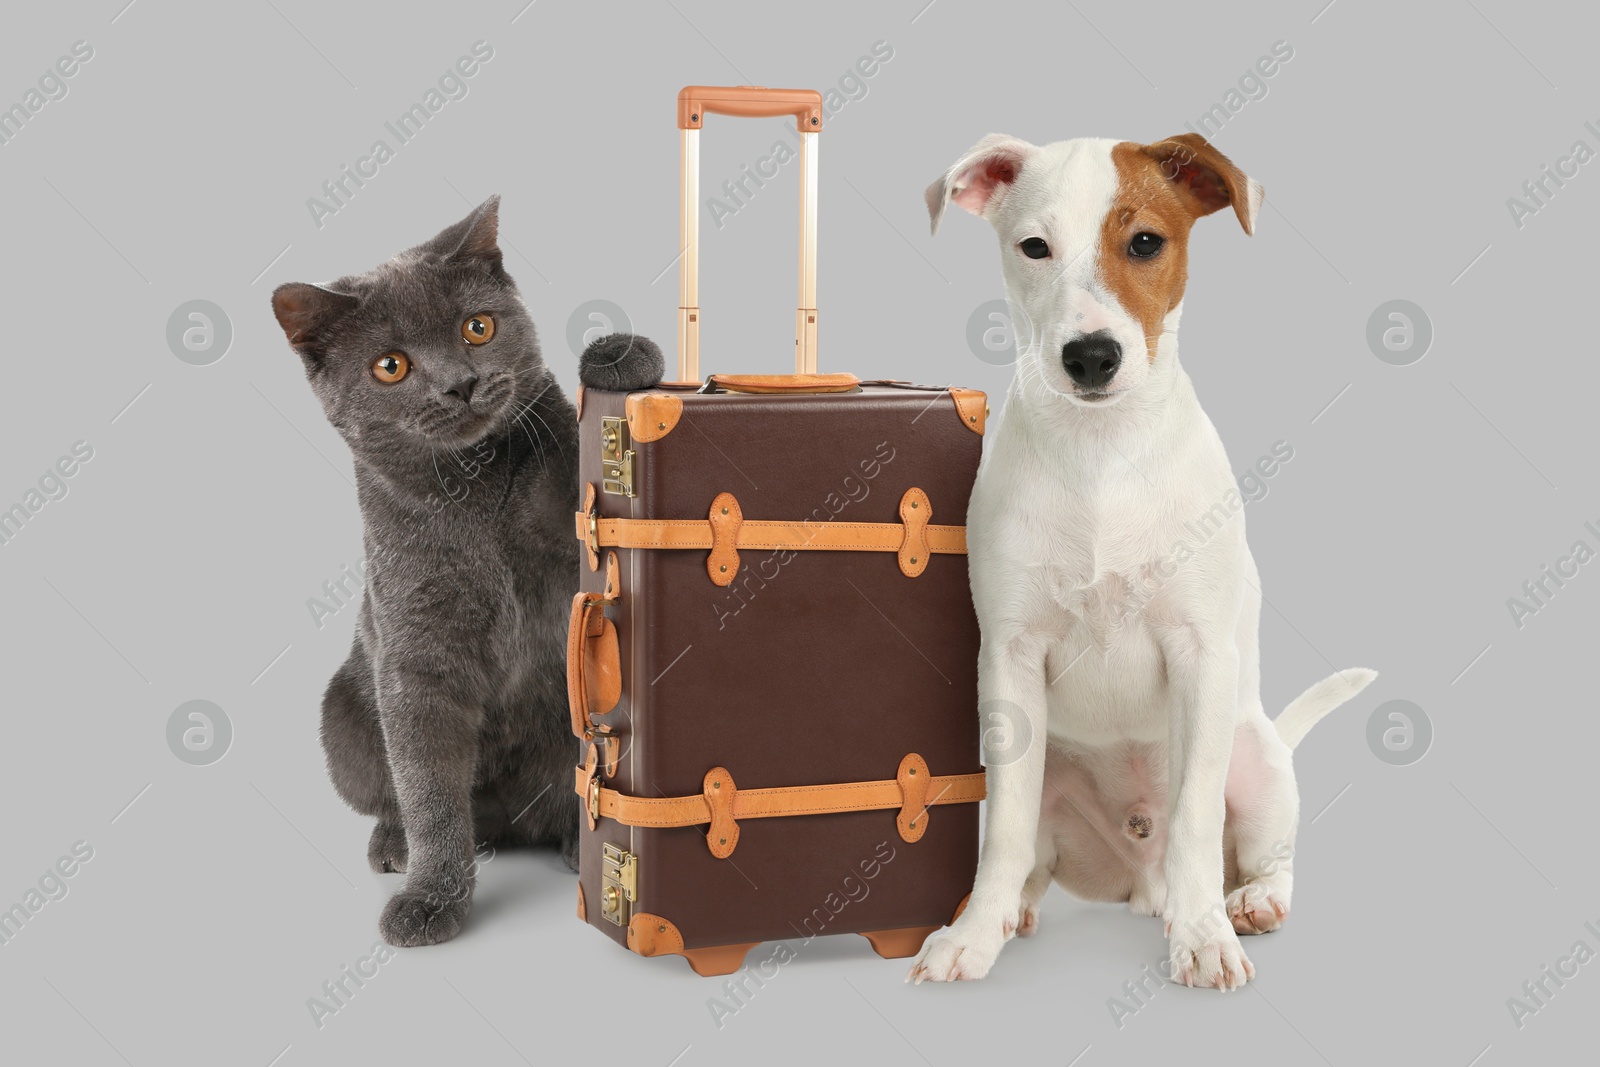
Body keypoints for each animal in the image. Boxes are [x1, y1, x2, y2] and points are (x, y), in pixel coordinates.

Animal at [272, 195, 659, 947]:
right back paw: (393, 845)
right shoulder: (416, 654)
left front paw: (618, 354)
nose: (461, 383)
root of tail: (512, 825)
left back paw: (575, 842)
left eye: (477, 327)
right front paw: (432, 898)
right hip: (342, 718)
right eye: (391, 366)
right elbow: (430, 793)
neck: (469, 493)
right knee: (401, 799)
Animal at [915, 133, 1376, 991]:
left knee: (1260, 852)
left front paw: (1203, 939)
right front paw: (972, 933)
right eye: (1035, 247)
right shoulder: (1009, 659)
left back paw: (1245, 902)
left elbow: (1195, 817)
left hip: (1256, 758)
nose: (1090, 356)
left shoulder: (1200, 655)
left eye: (1145, 243)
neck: (1102, 453)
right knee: (1032, 850)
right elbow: (1005, 830)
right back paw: (1019, 909)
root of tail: (1140, 883)